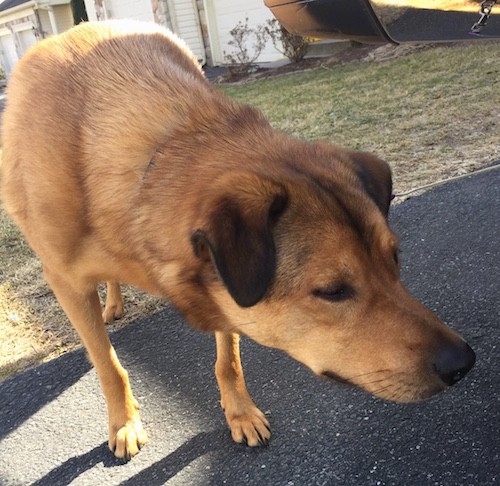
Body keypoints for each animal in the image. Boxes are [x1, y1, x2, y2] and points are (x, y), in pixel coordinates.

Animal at [1, 19, 474, 460]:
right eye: (333, 291)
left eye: (395, 260)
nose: (463, 363)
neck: (156, 158)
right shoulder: (64, 280)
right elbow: (108, 364)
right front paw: (125, 423)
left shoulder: (224, 293)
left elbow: (227, 357)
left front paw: (240, 413)